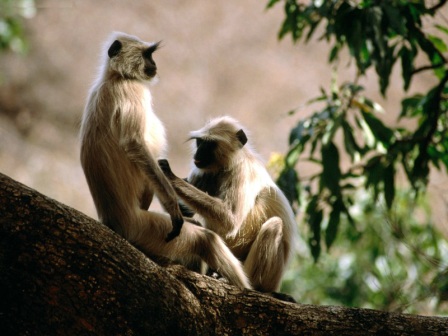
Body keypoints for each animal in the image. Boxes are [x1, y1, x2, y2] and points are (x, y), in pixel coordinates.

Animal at [79, 32, 250, 290]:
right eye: (148, 54)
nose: (154, 64)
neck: (115, 78)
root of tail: (112, 222)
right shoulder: (132, 91)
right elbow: (134, 145)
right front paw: (173, 208)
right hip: (144, 228)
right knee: (205, 240)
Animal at [158, 116, 298, 294]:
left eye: (209, 145)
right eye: (199, 142)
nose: (198, 153)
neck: (226, 166)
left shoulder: (243, 172)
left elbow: (230, 221)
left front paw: (170, 176)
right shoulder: (202, 172)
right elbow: (186, 212)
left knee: (274, 225)